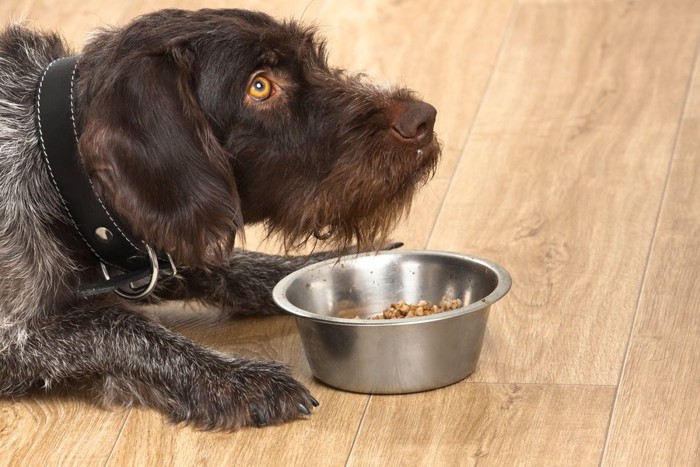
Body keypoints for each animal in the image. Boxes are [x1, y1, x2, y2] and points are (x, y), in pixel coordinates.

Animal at [0, 8, 438, 432]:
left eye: (314, 59)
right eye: (259, 87)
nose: (423, 119)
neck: (50, 164)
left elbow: (227, 266)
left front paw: (314, 266)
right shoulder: (13, 341)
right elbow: (116, 323)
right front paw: (234, 380)